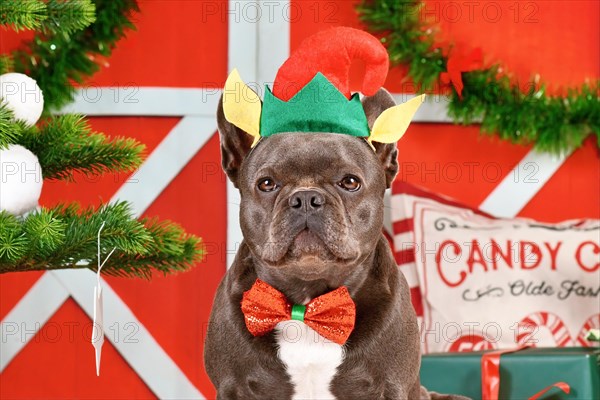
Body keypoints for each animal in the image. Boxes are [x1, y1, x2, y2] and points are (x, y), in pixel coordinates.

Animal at [205, 87, 468, 400]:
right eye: (266, 184)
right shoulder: (233, 386)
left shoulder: (390, 385)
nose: (306, 197)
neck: (306, 300)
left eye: (350, 182)